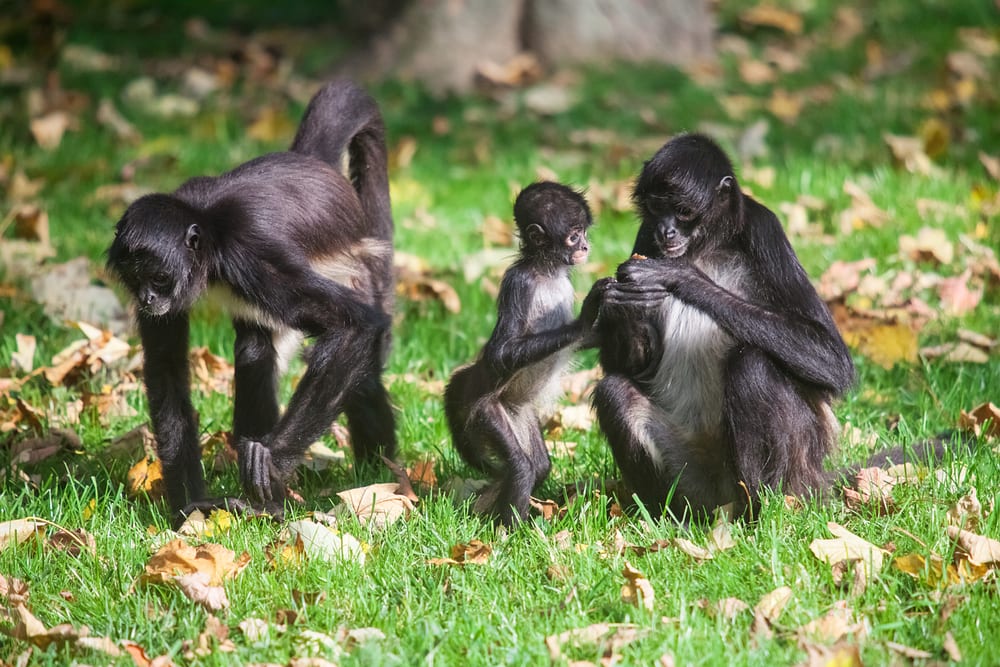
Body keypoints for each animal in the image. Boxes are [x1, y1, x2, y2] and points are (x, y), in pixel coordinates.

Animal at [106, 81, 396, 519]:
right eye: (135, 279)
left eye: (158, 277)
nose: (148, 298)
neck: (208, 224)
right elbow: (167, 369)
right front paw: (191, 509)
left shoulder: (250, 256)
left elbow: (354, 325)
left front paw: (270, 465)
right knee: (255, 349)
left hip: (356, 268)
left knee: (358, 370)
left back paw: (378, 473)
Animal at [443, 182, 601, 526]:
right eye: (574, 236)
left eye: (583, 232)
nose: (585, 247)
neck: (547, 272)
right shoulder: (519, 282)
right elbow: (499, 353)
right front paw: (588, 316)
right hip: (489, 411)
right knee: (522, 467)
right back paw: (508, 530)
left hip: (519, 411)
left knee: (539, 465)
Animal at [591, 133, 856, 521]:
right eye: (656, 208)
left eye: (683, 211)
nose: (666, 231)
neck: (706, 247)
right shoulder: (645, 236)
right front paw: (618, 303)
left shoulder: (764, 227)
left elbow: (834, 362)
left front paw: (682, 277)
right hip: (693, 478)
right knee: (615, 393)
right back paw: (669, 517)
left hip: (798, 469)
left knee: (752, 365)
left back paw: (760, 513)